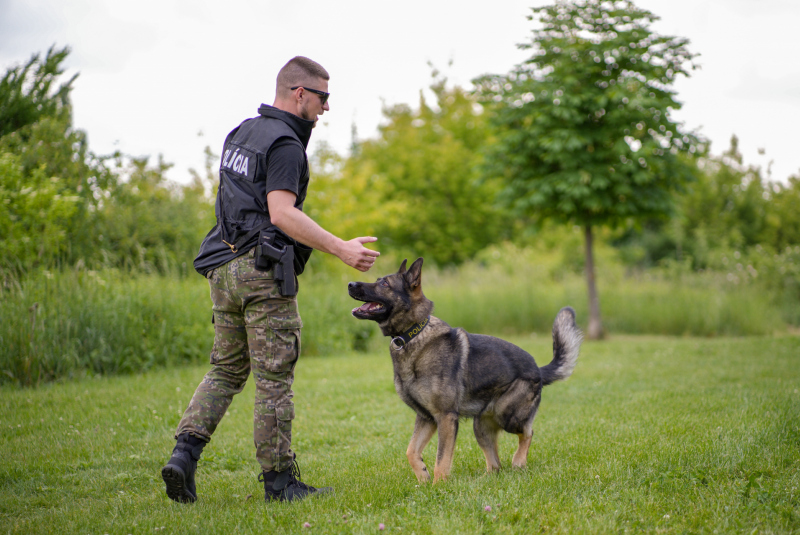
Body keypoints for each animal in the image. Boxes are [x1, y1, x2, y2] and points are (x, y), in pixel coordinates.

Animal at [348, 258, 580, 484]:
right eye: (378, 280)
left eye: (384, 284)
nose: (350, 284)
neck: (413, 335)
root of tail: (538, 369)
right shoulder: (426, 417)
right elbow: (411, 451)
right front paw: (423, 478)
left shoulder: (445, 417)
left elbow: (441, 458)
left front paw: (439, 487)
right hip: (481, 426)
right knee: (495, 464)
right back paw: (484, 480)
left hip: (507, 415)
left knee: (528, 432)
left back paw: (519, 460)